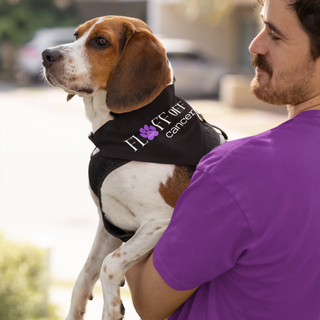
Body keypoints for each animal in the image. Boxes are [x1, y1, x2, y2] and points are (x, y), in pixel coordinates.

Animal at [42, 15, 228, 320]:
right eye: (77, 35)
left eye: (100, 41)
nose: (47, 55)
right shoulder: (109, 224)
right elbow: (86, 273)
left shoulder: (161, 222)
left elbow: (108, 265)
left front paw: (112, 307)